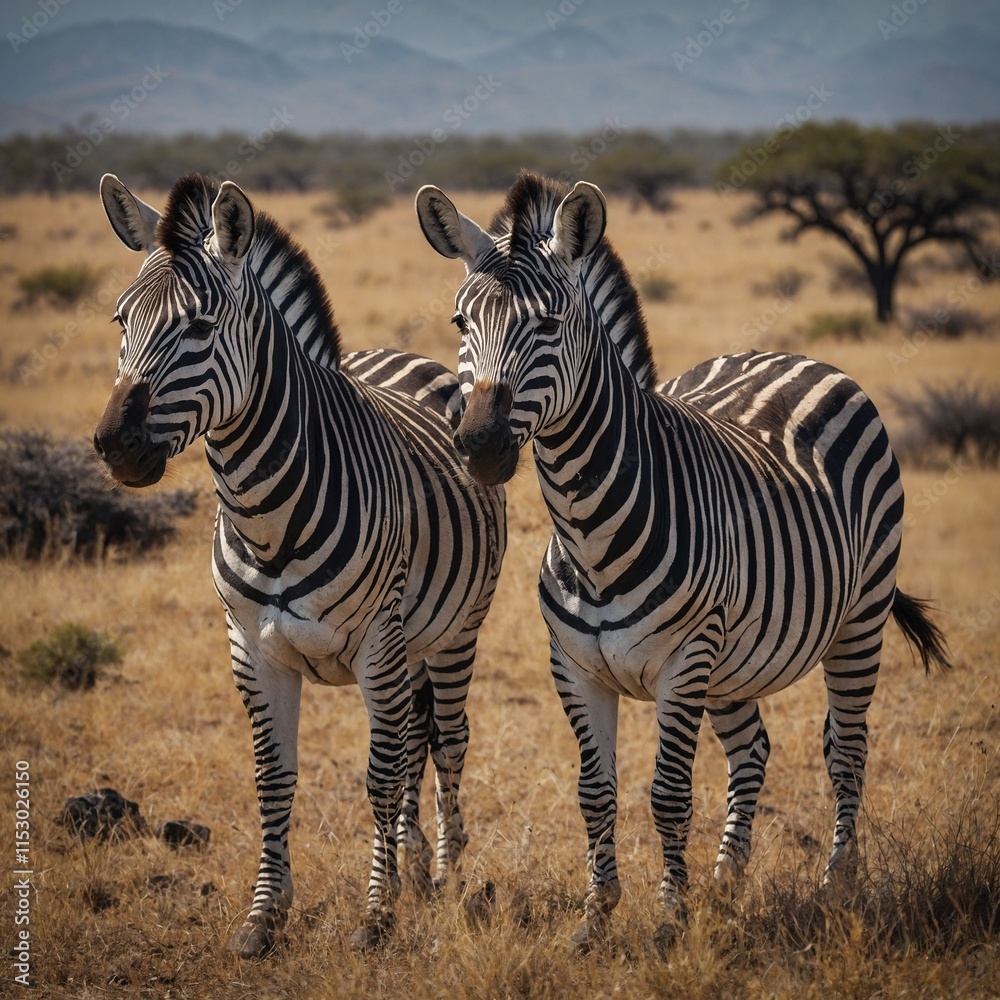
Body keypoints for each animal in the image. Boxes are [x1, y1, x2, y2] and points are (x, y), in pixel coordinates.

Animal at [93, 173, 506, 956]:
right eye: (120, 320)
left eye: (200, 327)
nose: (114, 444)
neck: (267, 519)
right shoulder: (252, 649)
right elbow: (273, 778)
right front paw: (265, 914)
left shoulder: (376, 642)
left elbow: (379, 777)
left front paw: (375, 916)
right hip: (409, 646)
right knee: (416, 738)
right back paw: (412, 862)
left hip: (453, 632)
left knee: (447, 742)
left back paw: (446, 871)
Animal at [415, 172, 950, 951]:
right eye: (460, 324)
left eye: (549, 325)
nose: (480, 447)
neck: (591, 537)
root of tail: (792, 356)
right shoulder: (574, 666)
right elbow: (594, 792)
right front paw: (595, 919)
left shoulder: (684, 661)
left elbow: (667, 794)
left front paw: (670, 920)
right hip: (737, 660)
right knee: (753, 748)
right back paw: (728, 879)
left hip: (859, 618)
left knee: (846, 748)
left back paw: (837, 886)